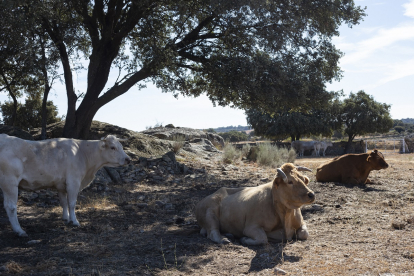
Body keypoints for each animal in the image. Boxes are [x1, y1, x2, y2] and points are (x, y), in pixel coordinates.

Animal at [0, 134, 130, 235]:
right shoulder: (73, 181)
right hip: (10, 182)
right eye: (113, 147)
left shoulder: (61, 185)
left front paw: (66, 218)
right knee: (10, 206)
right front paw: (75, 221)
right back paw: (19, 231)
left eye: (121, 146)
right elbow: (72, 203)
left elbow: (63, 202)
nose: (128, 159)